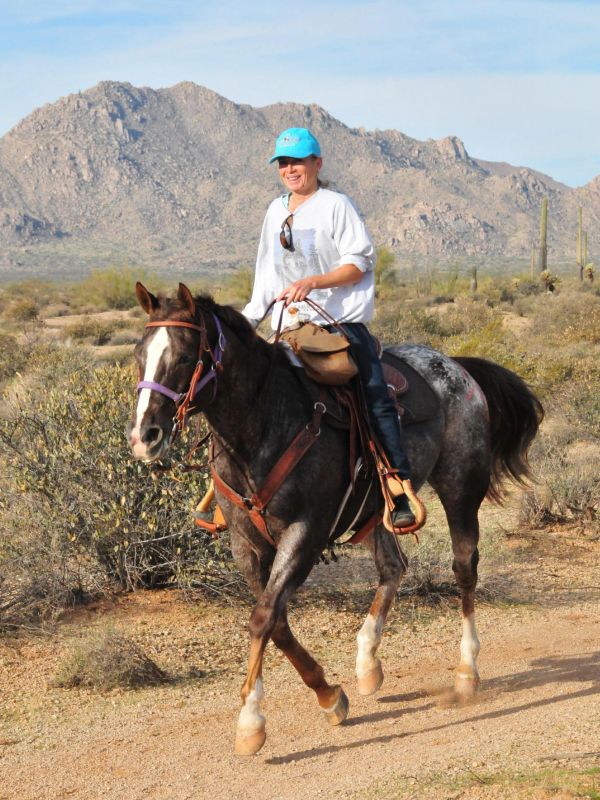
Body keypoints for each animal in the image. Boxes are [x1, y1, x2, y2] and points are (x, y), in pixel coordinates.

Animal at [128, 283, 543, 756]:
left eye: (183, 356)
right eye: (139, 354)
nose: (144, 436)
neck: (264, 424)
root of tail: (457, 366)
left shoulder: (305, 533)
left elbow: (263, 617)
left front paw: (250, 721)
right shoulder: (246, 544)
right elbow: (276, 621)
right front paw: (329, 695)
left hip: (460, 487)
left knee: (464, 569)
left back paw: (467, 671)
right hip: (378, 510)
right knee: (393, 567)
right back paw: (367, 662)